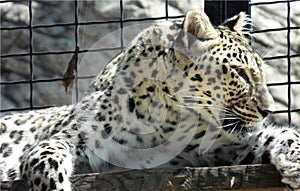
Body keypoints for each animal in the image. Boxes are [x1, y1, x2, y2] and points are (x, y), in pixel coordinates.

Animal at [0, 10, 300, 191]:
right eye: (241, 73)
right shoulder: (68, 138)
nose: (268, 110)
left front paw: (295, 164)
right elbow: (47, 158)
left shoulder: (224, 150)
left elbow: (280, 135)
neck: (170, 117)